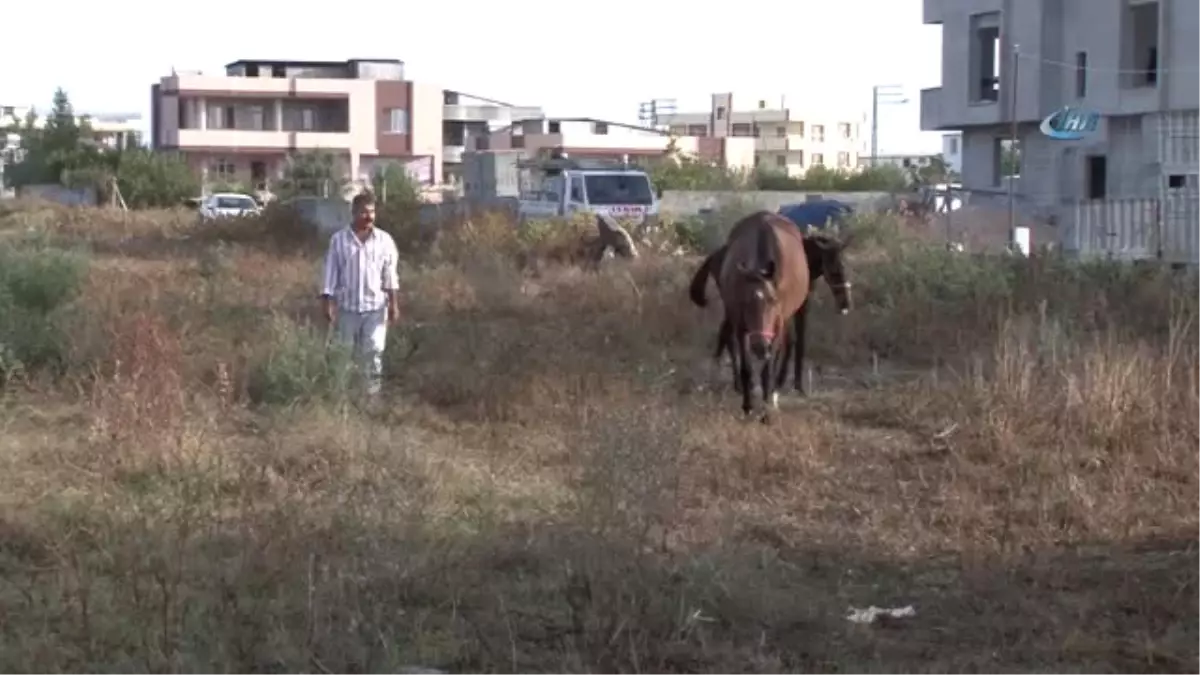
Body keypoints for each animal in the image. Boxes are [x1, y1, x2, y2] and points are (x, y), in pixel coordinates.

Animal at [705, 211, 811, 420]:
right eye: (745, 303)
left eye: (773, 300)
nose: (760, 346)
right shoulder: (740, 325)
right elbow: (746, 369)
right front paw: (748, 407)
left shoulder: (777, 326)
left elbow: (768, 371)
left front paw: (767, 411)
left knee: (786, 345)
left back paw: (775, 393)